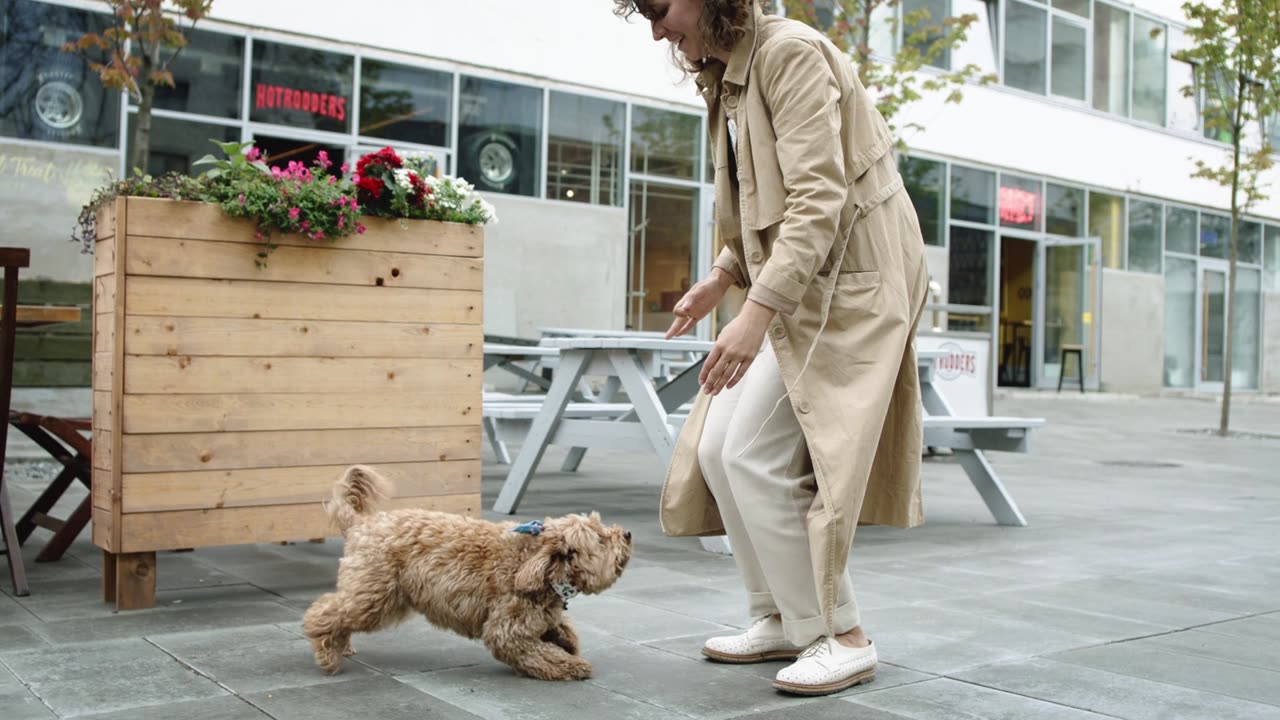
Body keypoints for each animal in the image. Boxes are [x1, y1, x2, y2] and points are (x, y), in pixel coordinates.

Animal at [305, 466, 634, 676]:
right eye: (601, 538)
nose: (628, 533)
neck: (531, 563)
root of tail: (361, 524)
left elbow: (560, 628)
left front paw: (567, 641)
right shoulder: (506, 630)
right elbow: (538, 654)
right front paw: (571, 665)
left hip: (379, 595)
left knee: (340, 614)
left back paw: (341, 646)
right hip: (374, 594)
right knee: (323, 613)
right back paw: (326, 652)